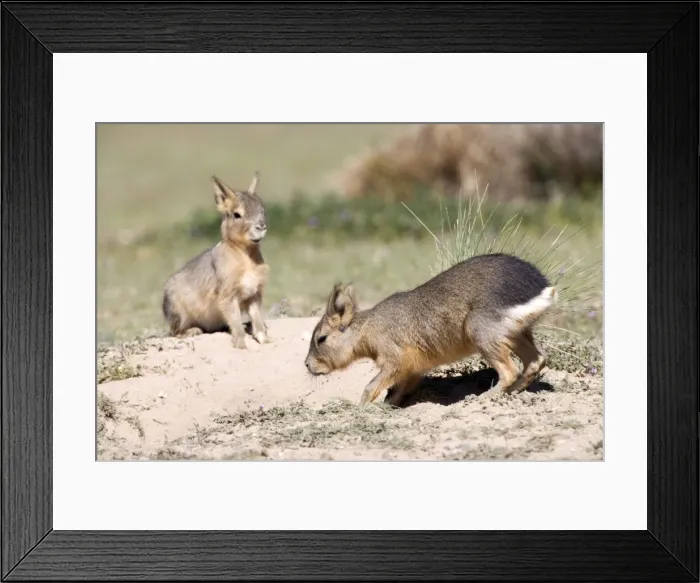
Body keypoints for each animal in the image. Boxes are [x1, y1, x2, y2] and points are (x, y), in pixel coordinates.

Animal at [162, 172, 270, 349]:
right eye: (236, 214)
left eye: (262, 210)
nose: (261, 227)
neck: (246, 257)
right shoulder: (228, 297)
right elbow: (236, 325)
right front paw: (241, 347)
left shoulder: (254, 294)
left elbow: (257, 321)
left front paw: (265, 340)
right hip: (179, 313)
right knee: (174, 332)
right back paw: (194, 330)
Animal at [304, 253, 557, 406]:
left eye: (321, 339)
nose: (307, 365)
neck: (369, 328)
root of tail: (542, 286)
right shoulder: (414, 369)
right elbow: (395, 393)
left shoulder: (394, 360)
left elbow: (371, 387)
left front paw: (361, 409)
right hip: (517, 334)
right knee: (537, 360)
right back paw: (513, 392)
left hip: (481, 332)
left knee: (509, 371)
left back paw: (480, 399)